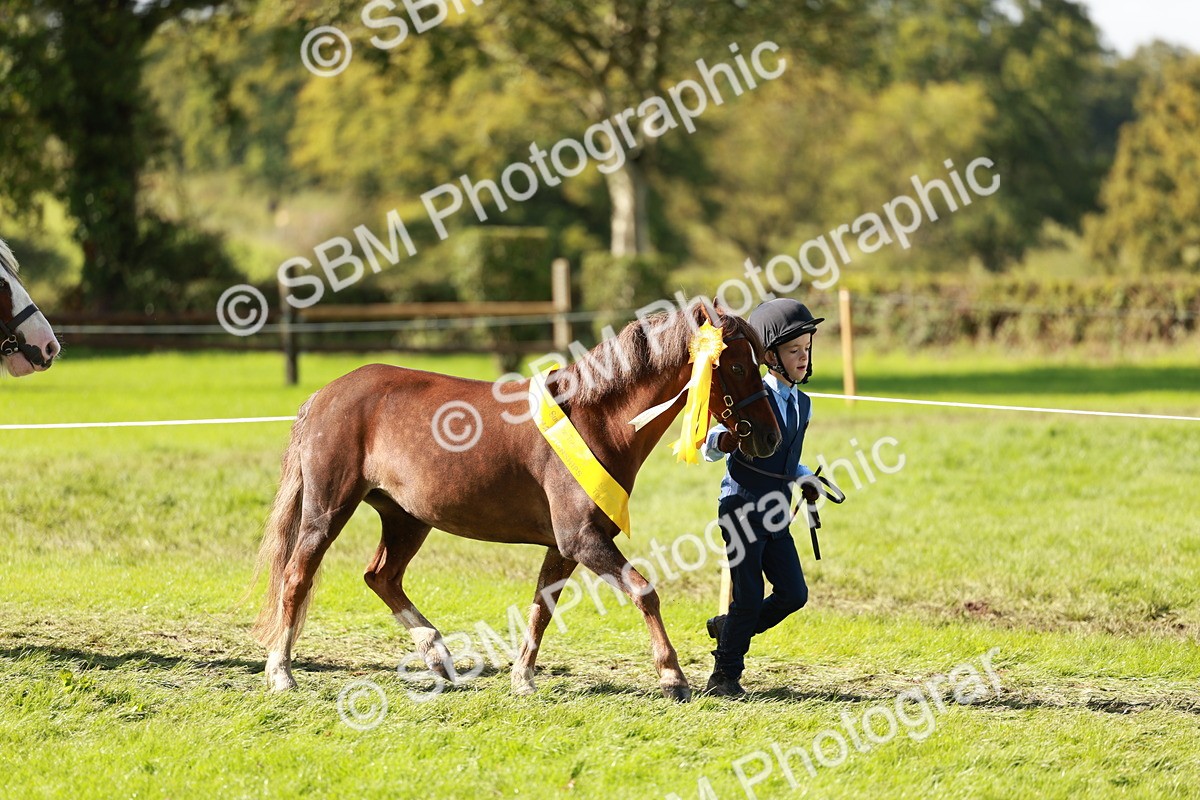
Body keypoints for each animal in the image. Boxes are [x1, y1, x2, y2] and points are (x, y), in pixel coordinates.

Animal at [251, 301, 781, 701]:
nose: (770, 437)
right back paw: (281, 673)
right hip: (328, 510)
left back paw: (438, 656)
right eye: (736, 365)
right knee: (297, 577)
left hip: (406, 518)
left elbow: (542, 608)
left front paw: (522, 678)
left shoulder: (563, 547)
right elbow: (644, 590)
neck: (597, 421)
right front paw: (672, 677)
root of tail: (324, 395)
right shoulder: (583, 539)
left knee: (381, 576)